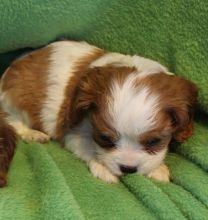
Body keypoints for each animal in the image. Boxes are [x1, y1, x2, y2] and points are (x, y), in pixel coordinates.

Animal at [0, 40, 197, 182]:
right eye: (105, 139)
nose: (128, 168)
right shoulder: (73, 132)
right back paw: (32, 133)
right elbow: (88, 147)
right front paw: (103, 167)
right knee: (12, 121)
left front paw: (157, 168)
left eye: (154, 141)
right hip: (14, 100)